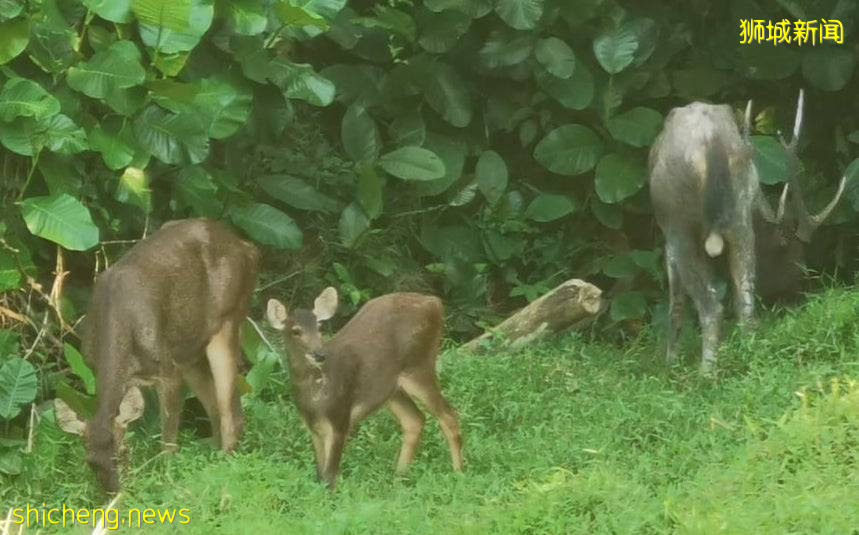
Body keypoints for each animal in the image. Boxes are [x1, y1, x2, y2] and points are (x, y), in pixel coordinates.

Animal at [83, 219, 258, 494]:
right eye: (90, 463)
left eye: (121, 453)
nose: (113, 493)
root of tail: (249, 248)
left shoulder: (167, 370)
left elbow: (168, 440)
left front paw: (167, 478)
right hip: (189, 349)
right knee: (217, 404)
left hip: (229, 319)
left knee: (230, 409)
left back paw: (225, 466)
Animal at [268, 288, 464, 490]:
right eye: (296, 331)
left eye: (320, 327)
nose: (319, 354)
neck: (316, 397)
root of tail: (436, 303)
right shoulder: (312, 426)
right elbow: (320, 474)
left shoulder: (340, 417)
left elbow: (330, 475)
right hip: (390, 388)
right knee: (415, 419)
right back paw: (398, 477)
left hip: (418, 366)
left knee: (449, 415)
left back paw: (458, 473)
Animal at [652, 90, 848, 372]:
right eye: (789, 256)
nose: (800, 298)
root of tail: (712, 143)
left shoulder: (668, 236)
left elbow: (675, 302)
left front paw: (670, 363)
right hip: (740, 219)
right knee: (745, 305)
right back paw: (749, 357)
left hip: (681, 226)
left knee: (711, 307)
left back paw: (706, 373)